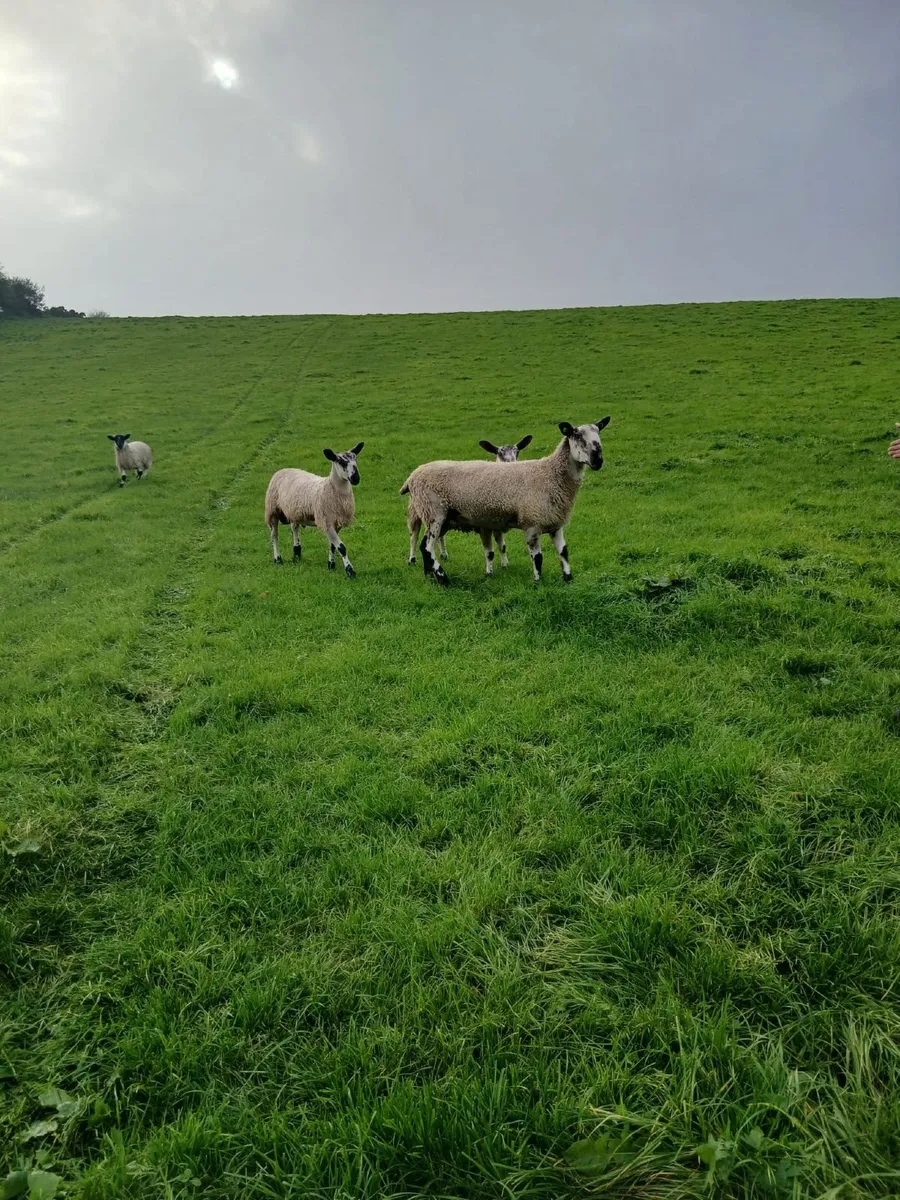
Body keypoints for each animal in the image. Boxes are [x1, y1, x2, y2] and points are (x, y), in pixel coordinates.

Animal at [265, 442, 364, 577]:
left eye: (356, 459)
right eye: (341, 462)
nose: (356, 478)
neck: (330, 488)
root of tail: (284, 469)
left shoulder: (336, 523)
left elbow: (333, 546)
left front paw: (331, 565)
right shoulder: (326, 521)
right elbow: (341, 547)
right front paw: (350, 571)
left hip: (294, 511)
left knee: (294, 528)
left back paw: (297, 552)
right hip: (273, 510)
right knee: (274, 535)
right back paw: (278, 559)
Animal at [406, 435, 532, 568]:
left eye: (517, 452)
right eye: (499, 453)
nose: (512, 465)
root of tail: (416, 471)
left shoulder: (497, 522)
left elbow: (502, 546)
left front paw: (505, 564)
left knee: (439, 536)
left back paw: (443, 554)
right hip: (417, 510)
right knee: (414, 535)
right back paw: (412, 559)